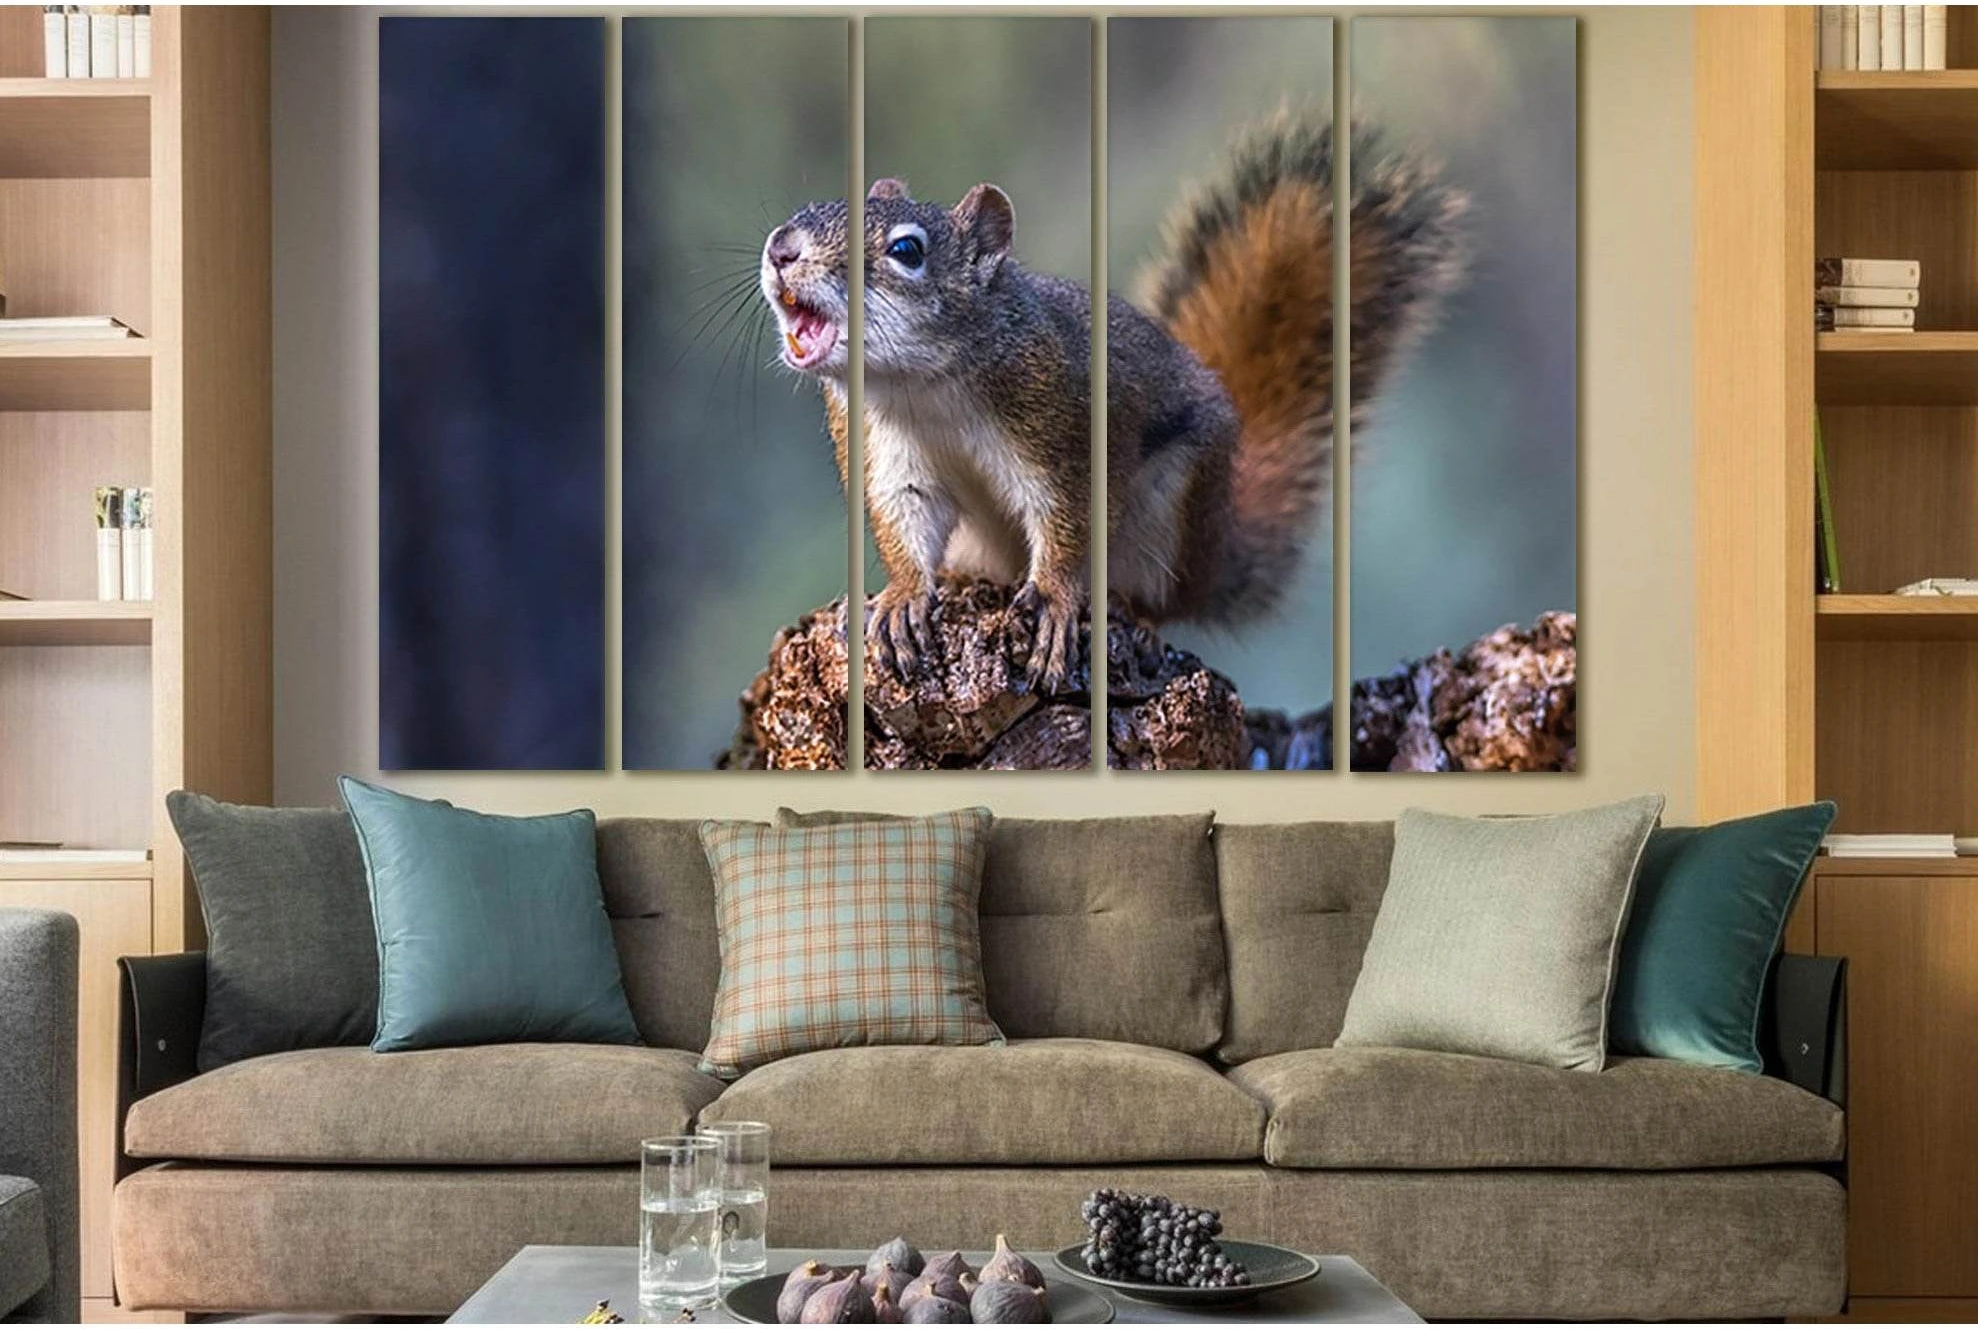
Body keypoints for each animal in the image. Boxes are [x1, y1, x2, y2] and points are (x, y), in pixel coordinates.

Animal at [759, 111, 1467, 692]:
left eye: (907, 250)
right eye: (809, 209)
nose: (780, 248)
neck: (923, 383)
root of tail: (1215, 552)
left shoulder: (1067, 425)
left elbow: (1069, 520)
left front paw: (1053, 600)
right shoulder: (882, 446)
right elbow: (904, 516)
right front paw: (904, 597)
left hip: (1171, 510)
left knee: (1160, 600)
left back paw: (1132, 614)